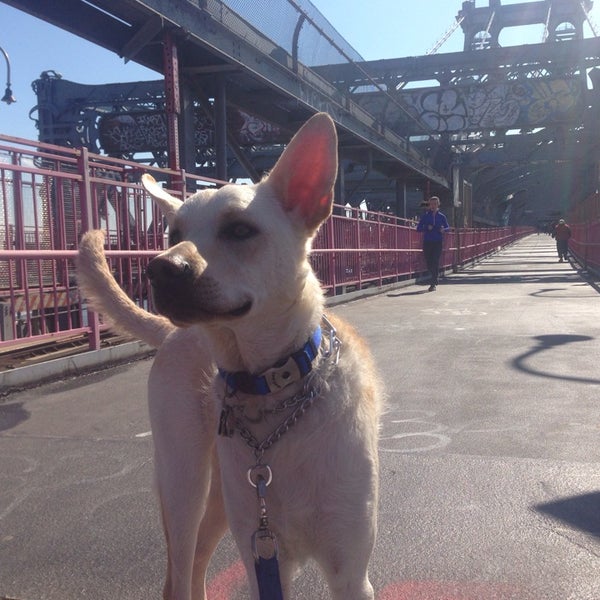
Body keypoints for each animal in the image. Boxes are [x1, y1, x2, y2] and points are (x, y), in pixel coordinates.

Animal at [77, 113, 382, 600]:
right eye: (173, 234)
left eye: (240, 230)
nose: (160, 268)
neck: (274, 389)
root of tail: (173, 334)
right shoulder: (264, 559)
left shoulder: (348, 571)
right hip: (185, 484)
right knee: (180, 570)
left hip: (221, 498)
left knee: (198, 560)